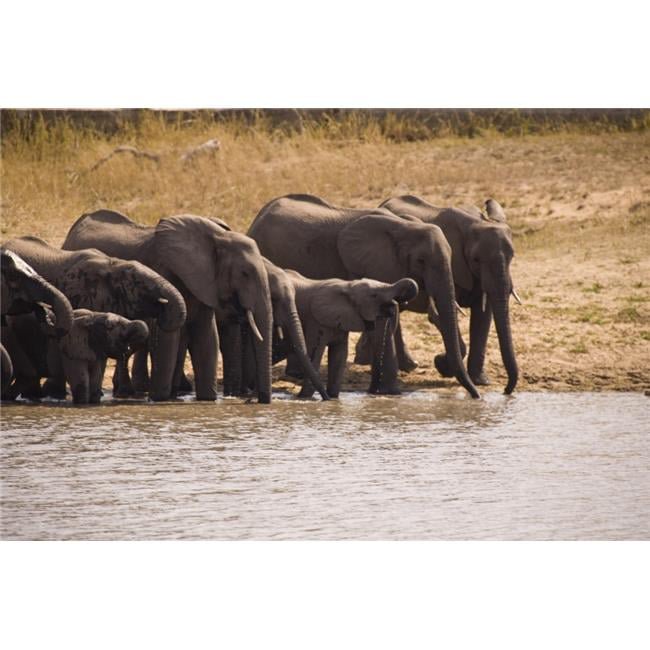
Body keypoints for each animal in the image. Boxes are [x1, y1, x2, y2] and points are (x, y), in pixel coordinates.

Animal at [4, 307, 148, 404]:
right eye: (110, 327)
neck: (92, 316)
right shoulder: (70, 348)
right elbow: (81, 383)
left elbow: (95, 381)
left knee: (26, 377)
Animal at [63, 210, 273, 403]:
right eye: (245, 273)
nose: (254, 400)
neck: (218, 238)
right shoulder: (166, 269)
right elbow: (169, 339)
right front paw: (160, 399)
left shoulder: (204, 283)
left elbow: (206, 336)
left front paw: (207, 400)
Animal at [247, 194, 480, 399]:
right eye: (421, 261)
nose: (476, 396)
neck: (403, 226)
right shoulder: (363, 266)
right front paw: (390, 392)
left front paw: (383, 391)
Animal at [379, 194, 519, 394]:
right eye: (476, 259)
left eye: (512, 256)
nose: (506, 391)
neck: (474, 224)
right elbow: (439, 315)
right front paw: (442, 365)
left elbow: (483, 316)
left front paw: (481, 381)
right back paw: (408, 366)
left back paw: (409, 366)